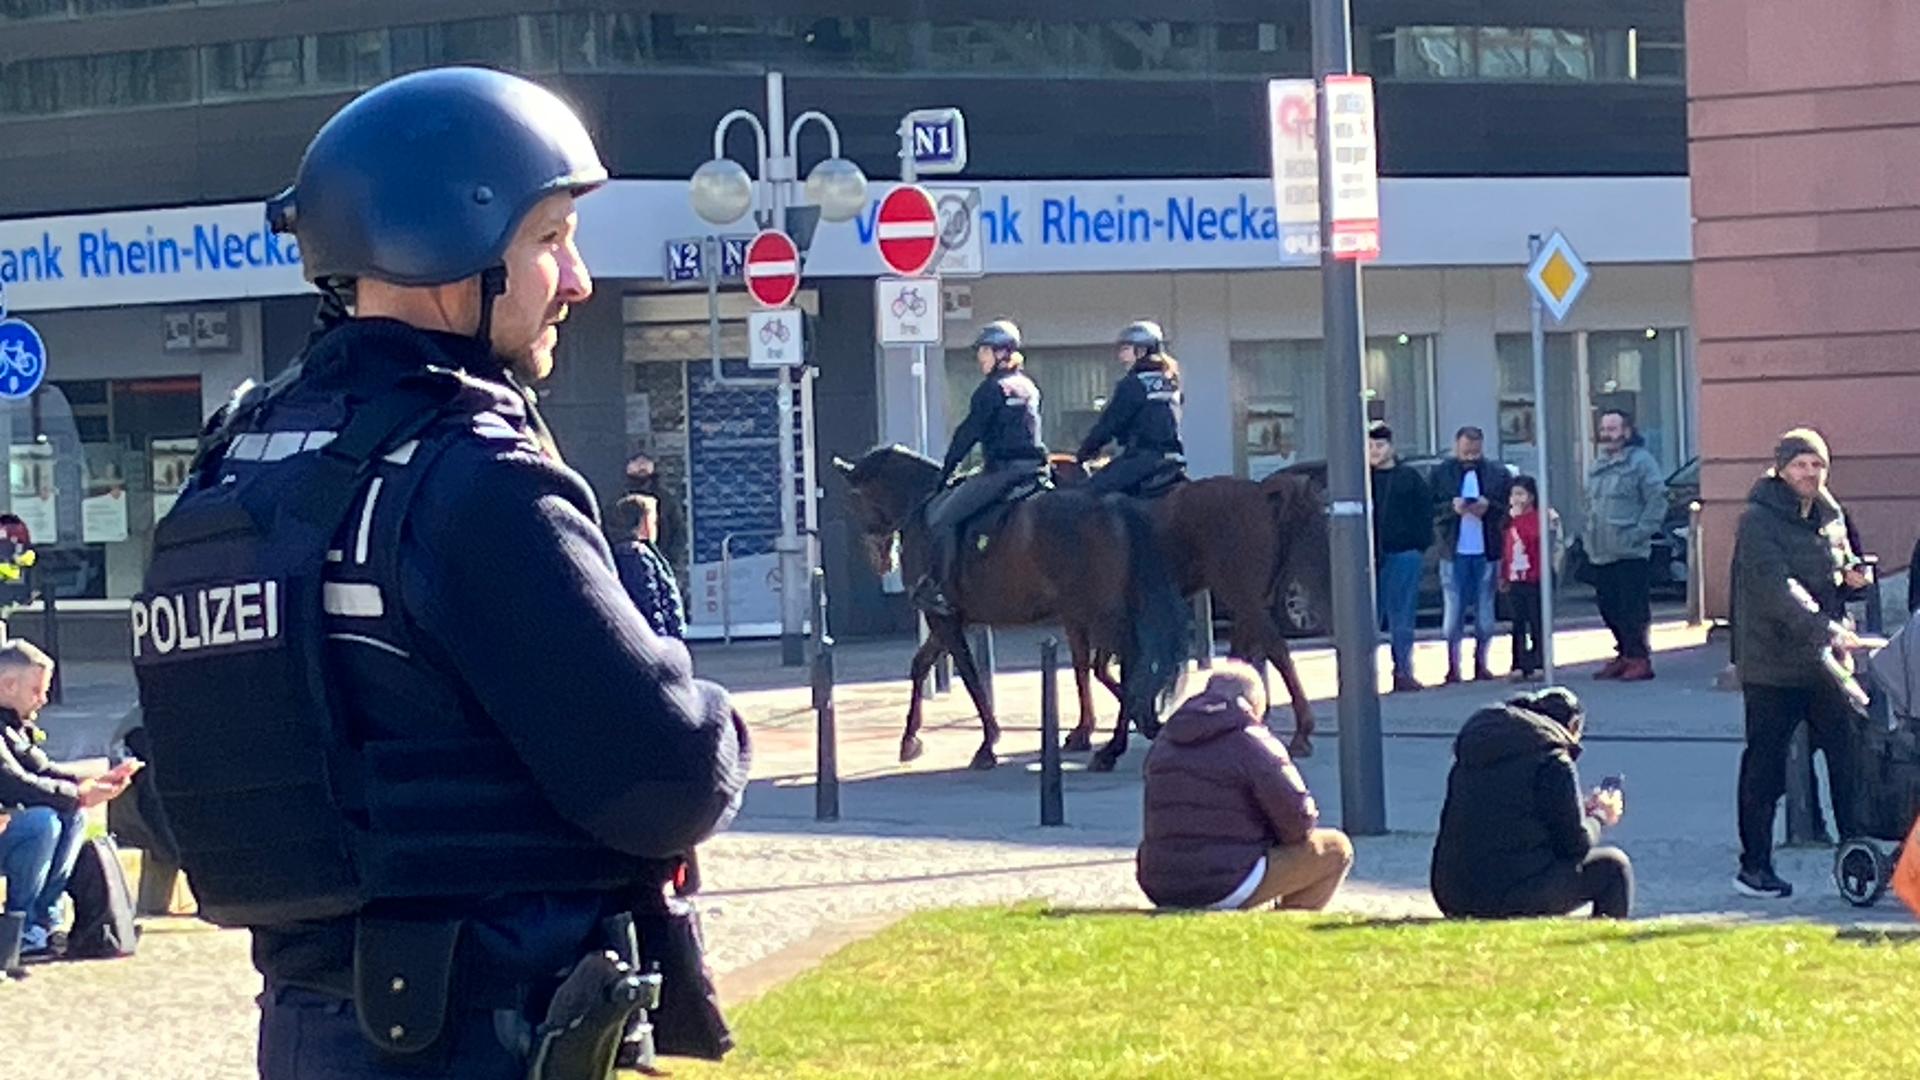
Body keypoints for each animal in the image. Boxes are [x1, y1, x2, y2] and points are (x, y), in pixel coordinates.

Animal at [833, 441, 1190, 768]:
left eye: (855, 499)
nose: (878, 559)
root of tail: (1115, 504)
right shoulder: (950, 618)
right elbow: (921, 665)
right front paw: (910, 739)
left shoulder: (942, 619)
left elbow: (971, 677)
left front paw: (988, 743)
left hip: (1102, 613)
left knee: (1129, 665)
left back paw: (1115, 745)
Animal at [1044, 449, 1328, 753]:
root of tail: (1261, 492)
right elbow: (1103, 670)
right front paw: (1144, 719)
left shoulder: (1081, 615)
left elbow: (1085, 669)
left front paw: (1088, 730)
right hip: (1246, 599)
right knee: (1245, 652)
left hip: (1242, 595)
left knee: (1276, 650)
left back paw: (1300, 732)